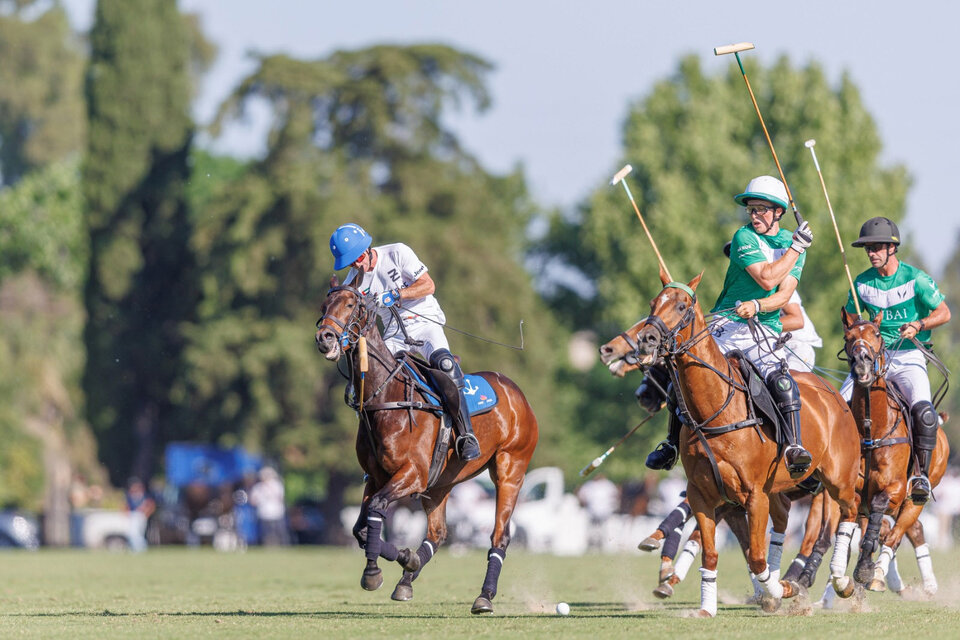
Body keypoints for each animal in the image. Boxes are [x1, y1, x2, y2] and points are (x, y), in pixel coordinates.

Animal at [316, 278, 536, 616]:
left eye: (352, 305)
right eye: (324, 305)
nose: (324, 338)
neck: (384, 399)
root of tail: (516, 391)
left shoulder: (412, 474)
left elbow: (375, 511)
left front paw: (373, 573)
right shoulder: (376, 477)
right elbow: (360, 528)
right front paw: (407, 559)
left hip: (510, 469)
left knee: (500, 535)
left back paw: (484, 597)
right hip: (440, 483)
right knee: (438, 532)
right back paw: (407, 579)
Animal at [600, 270, 864, 616]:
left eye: (682, 306)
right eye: (653, 303)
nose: (647, 339)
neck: (714, 411)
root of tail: (834, 393)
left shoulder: (753, 495)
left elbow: (755, 556)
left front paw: (776, 591)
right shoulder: (704, 494)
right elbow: (712, 551)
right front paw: (706, 607)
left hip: (837, 479)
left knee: (845, 515)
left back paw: (840, 582)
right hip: (782, 490)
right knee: (784, 522)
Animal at [840, 308, 944, 592]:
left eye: (876, 334)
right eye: (848, 336)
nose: (861, 363)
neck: (871, 431)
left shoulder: (895, 488)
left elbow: (877, 511)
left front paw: (866, 569)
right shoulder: (851, 493)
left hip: (914, 498)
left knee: (897, 534)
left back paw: (879, 575)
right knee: (907, 529)